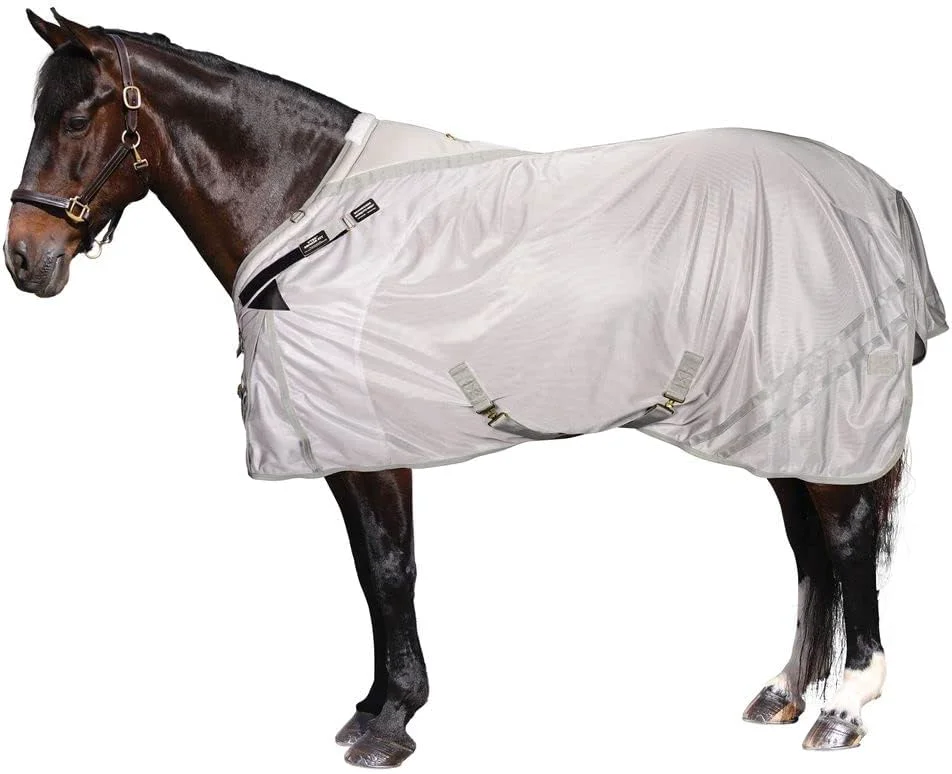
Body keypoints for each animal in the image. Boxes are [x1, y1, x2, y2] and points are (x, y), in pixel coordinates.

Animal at [4, 10, 946, 768]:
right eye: (36, 112)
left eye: (78, 114)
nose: (25, 259)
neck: (315, 217)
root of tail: (878, 195)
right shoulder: (345, 445)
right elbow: (370, 571)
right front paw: (375, 706)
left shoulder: (372, 443)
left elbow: (390, 568)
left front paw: (390, 723)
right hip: (781, 414)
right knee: (810, 547)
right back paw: (785, 692)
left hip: (824, 413)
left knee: (848, 539)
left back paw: (844, 708)